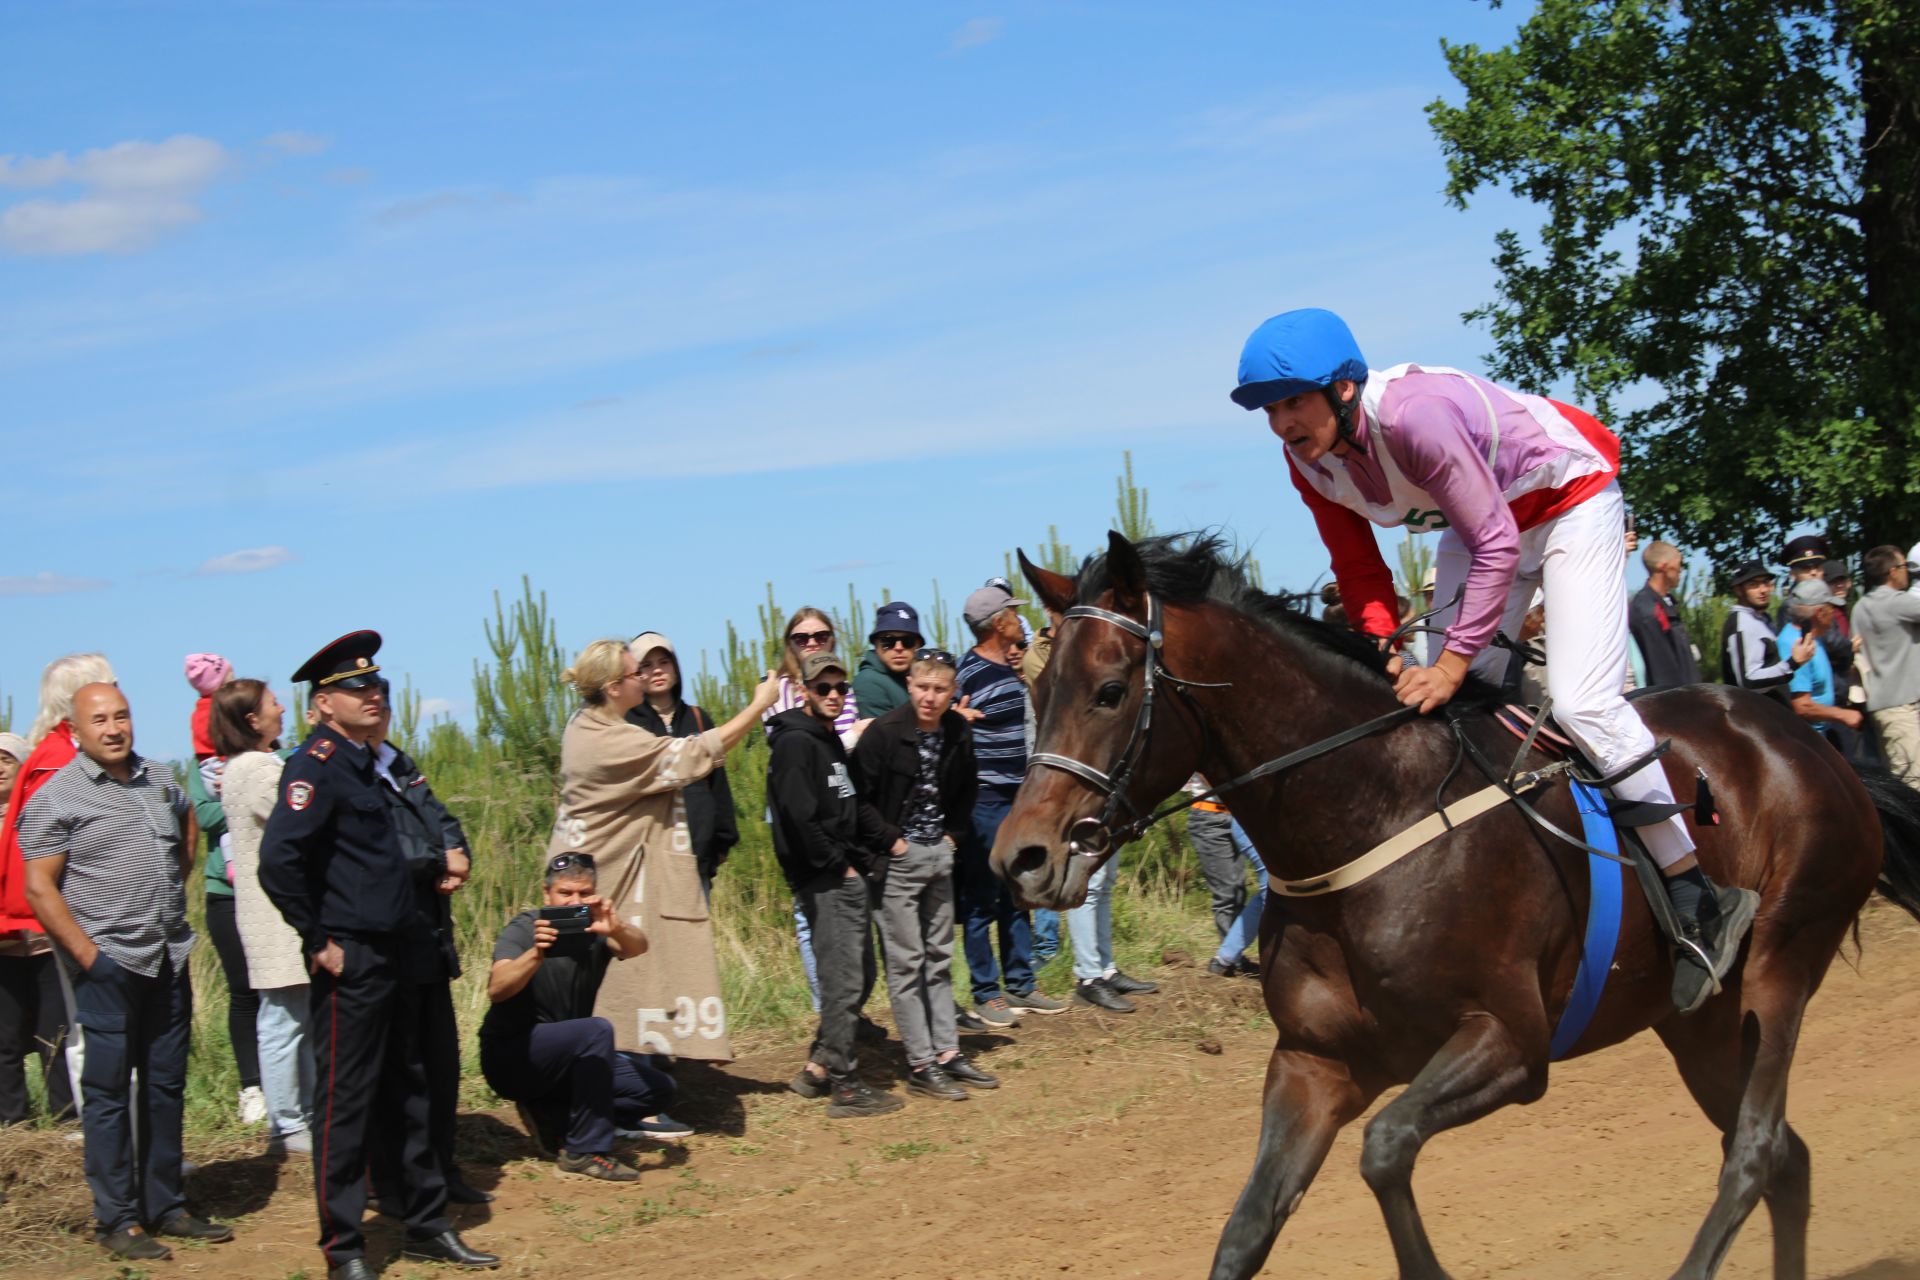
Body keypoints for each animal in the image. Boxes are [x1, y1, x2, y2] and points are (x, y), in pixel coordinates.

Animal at [998, 529, 1912, 1280]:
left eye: (1110, 690)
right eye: (1034, 696)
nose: (1020, 856)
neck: (1372, 812)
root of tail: (1809, 743)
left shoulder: (1510, 1043)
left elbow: (1384, 1149)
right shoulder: (1314, 1063)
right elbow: (1247, 1229)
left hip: (1779, 967)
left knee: (1754, 1153)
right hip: (1698, 1020)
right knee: (1786, 1156)